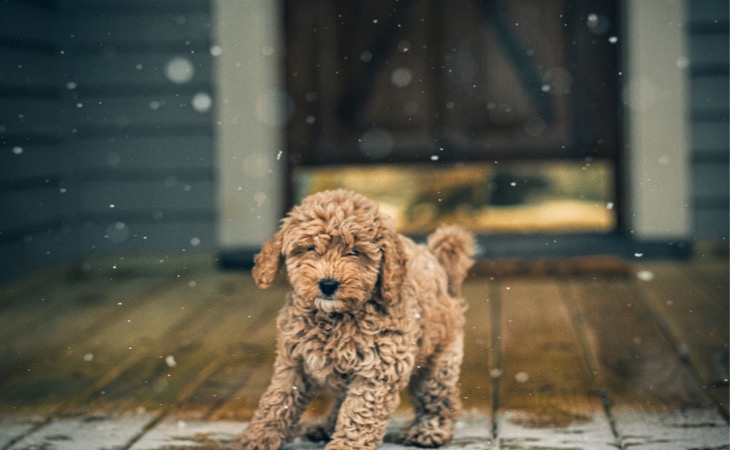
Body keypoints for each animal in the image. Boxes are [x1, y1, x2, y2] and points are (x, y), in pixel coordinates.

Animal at [242, 189, 474, 450]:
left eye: (354, 252)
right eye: (310, 248)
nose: (328, 284)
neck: (334, 318)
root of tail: (436, 262)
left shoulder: (379, 368)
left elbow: (359, 412)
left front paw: (346, 446)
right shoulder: (294, 361)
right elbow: (278, 400)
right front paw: (257, 437)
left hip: (440, 358)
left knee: (439, 398)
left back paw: (429, 430)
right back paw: (325, 426)